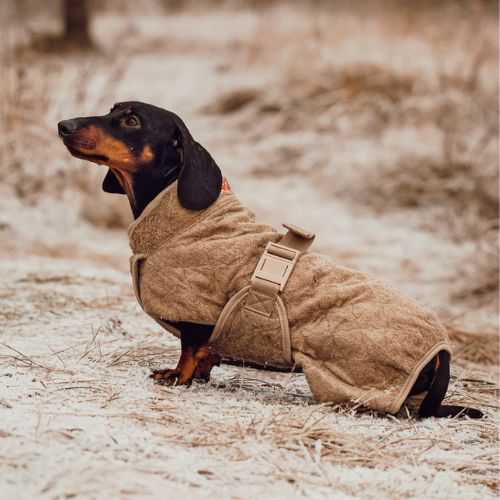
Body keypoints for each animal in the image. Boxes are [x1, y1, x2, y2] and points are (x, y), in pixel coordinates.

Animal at [57, 100, 480, 418]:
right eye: (111, 109)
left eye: (131, 120)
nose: (63, 124)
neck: (188, 221)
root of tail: (442, 351)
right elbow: (206, 351)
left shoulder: (195, 312)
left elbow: (190, 350)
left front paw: (178, 378)